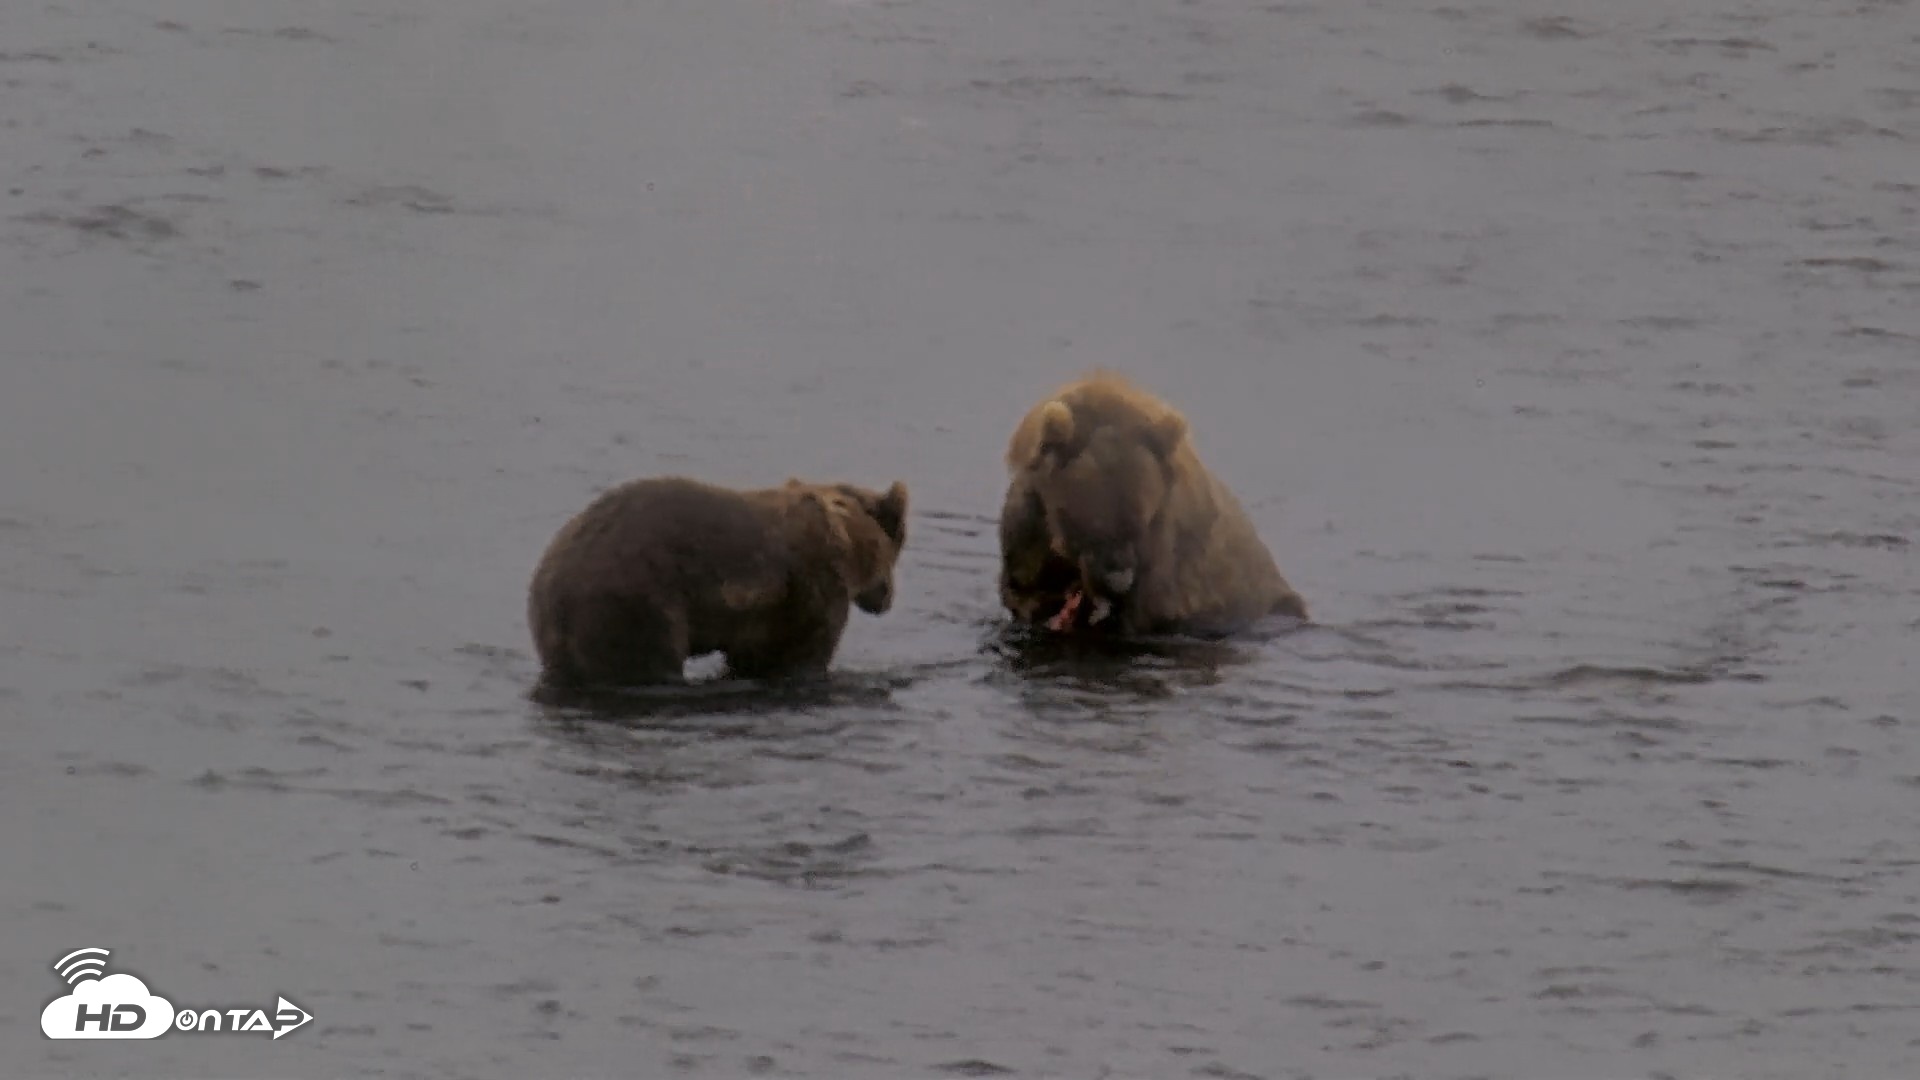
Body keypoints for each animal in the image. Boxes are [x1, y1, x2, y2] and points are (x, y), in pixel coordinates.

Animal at [998, 371, 1307, 637]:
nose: (1119, 582)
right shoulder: (1032, 530)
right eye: (1092, 525)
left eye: (1141, 521)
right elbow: (1027, 586)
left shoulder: (1166, 567)